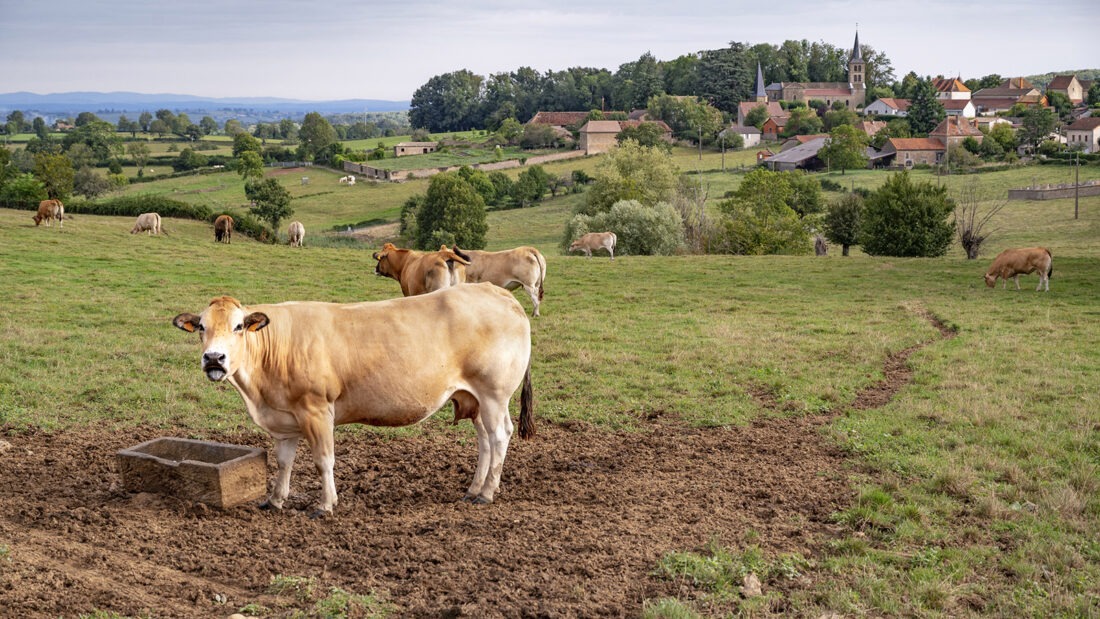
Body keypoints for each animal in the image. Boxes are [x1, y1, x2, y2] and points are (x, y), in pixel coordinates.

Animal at [169, 283, 534, 516]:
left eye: (239, 326)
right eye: (201, 327)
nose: (214, 358)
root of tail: (497, 291)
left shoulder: (316, 410)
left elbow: (323, 460)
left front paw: (325, 506)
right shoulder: (285, 419)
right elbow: (284, 462)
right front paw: (274, 501)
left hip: (494, 394)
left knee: (499, 436)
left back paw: (487, 493)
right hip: (474, 398)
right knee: (484, 440)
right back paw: (474, 489)